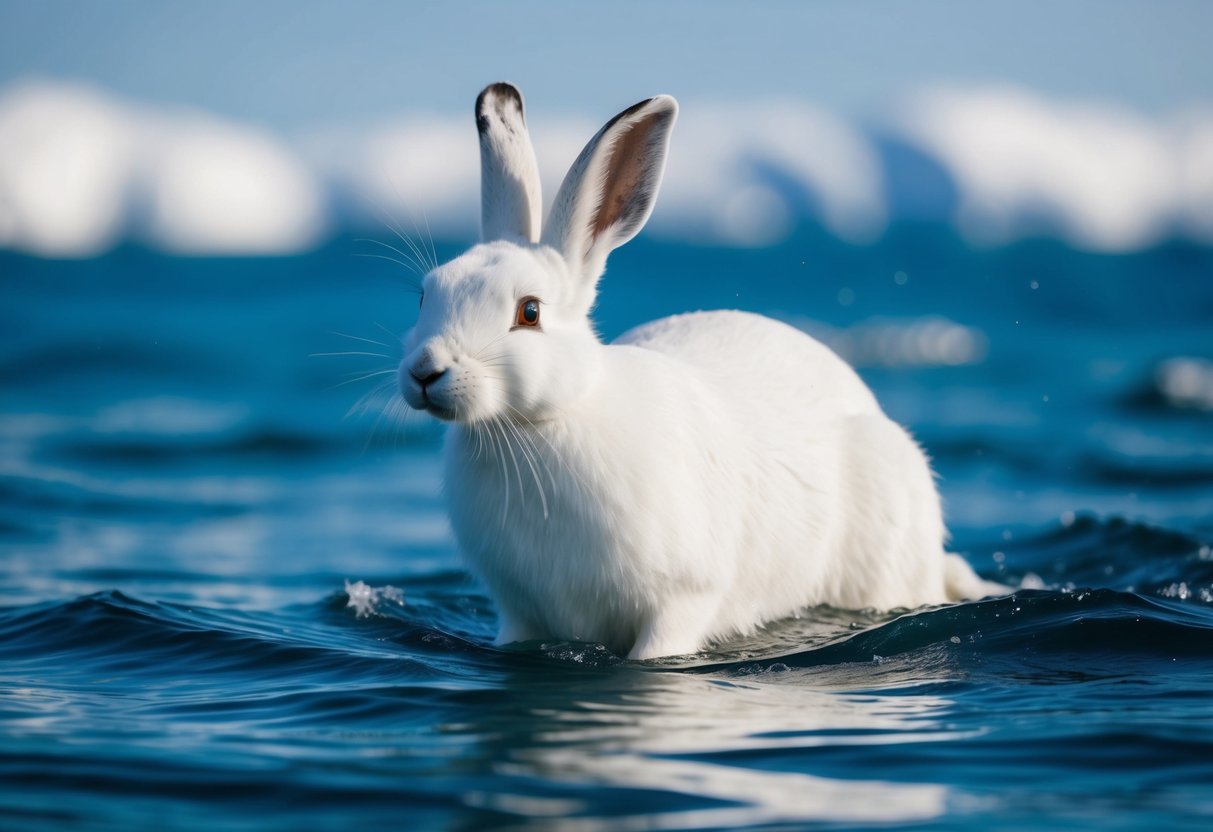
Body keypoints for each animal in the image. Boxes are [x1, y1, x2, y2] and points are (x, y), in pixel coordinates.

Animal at [397, 82, 1006, 660]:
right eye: (425, 295)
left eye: (529, 313)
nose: (425, 373)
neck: (539, 424)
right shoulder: (520, 613)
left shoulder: (681, 599)